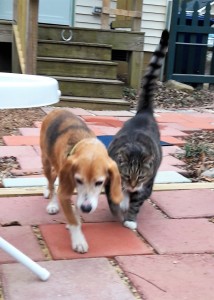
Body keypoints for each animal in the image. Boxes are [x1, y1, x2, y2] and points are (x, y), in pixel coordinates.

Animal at [40, 109, 123, 252]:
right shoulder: (64, 192)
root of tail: (57, 110)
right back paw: (52, 202)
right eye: (78, 180)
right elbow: (72, 220)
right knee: (50, 182)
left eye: (99, 183)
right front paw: (78, 240)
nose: (86, 208)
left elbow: (76, 208)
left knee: (54, 176)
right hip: (46, 161)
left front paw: (77, 217)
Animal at [105, 29, 169, 230]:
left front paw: (130, 220)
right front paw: (118, 208)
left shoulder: (144, 186)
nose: (132, 186)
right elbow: (114, 199)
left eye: (140, 177)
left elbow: (135, 202)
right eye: (126, 175)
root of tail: (144, 112)